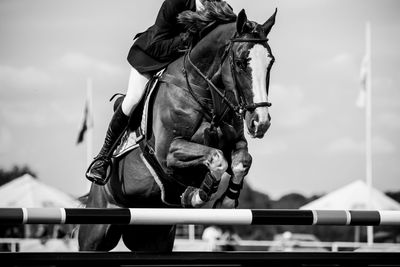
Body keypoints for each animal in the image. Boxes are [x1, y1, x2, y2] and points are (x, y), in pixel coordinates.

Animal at [78, 3, 278, 252]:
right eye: (241, 62)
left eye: (270, 62)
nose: (261, 122)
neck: (202, 90)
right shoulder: (168, 152)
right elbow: (216, 158)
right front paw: (196, 195)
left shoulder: (235, 142)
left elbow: (241, 161)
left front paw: (227, 199)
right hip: (95, 233)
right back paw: (98, 168)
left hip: (155, 237)